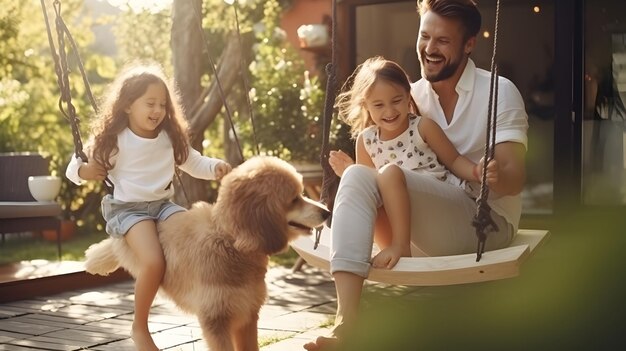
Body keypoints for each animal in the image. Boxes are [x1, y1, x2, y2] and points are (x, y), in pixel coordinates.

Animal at [83, 157, 332, 351]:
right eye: (294, 199)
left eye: (301, 193)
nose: (327, 212)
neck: (231, 243)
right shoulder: (216, 320)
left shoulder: (247, 314)